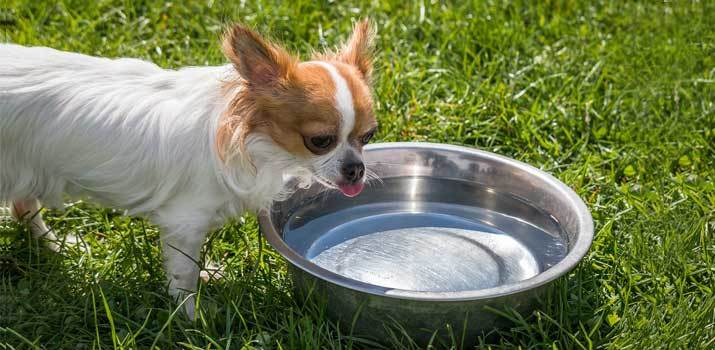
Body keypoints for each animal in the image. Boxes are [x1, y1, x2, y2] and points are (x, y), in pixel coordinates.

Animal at [0, 19, 378, 320]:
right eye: (320, 141)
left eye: (368, 136)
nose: (356, 169)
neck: (257, 142)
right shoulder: (184, 222)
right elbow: (183, 273)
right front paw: (192, 317)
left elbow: (191, 264)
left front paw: (207, 277)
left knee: (23, 207)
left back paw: (57, 246)